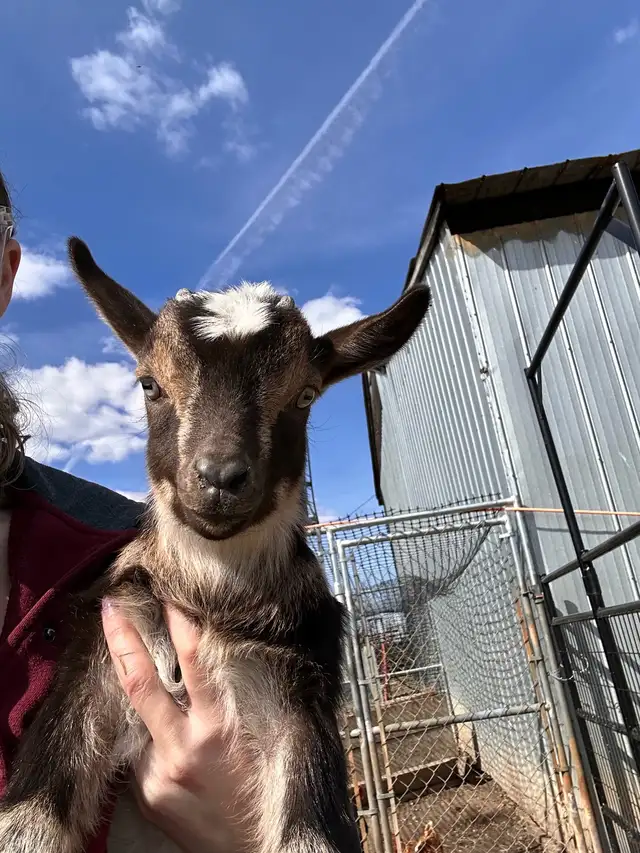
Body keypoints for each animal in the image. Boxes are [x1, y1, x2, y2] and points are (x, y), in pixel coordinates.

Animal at [0, 237, 431, 853]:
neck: (212, 599)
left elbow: (308, 834)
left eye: (304, 395)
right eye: (149, 384)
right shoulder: (98, 654)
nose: (221, 477)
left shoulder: (299, 685)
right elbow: (28, 822)